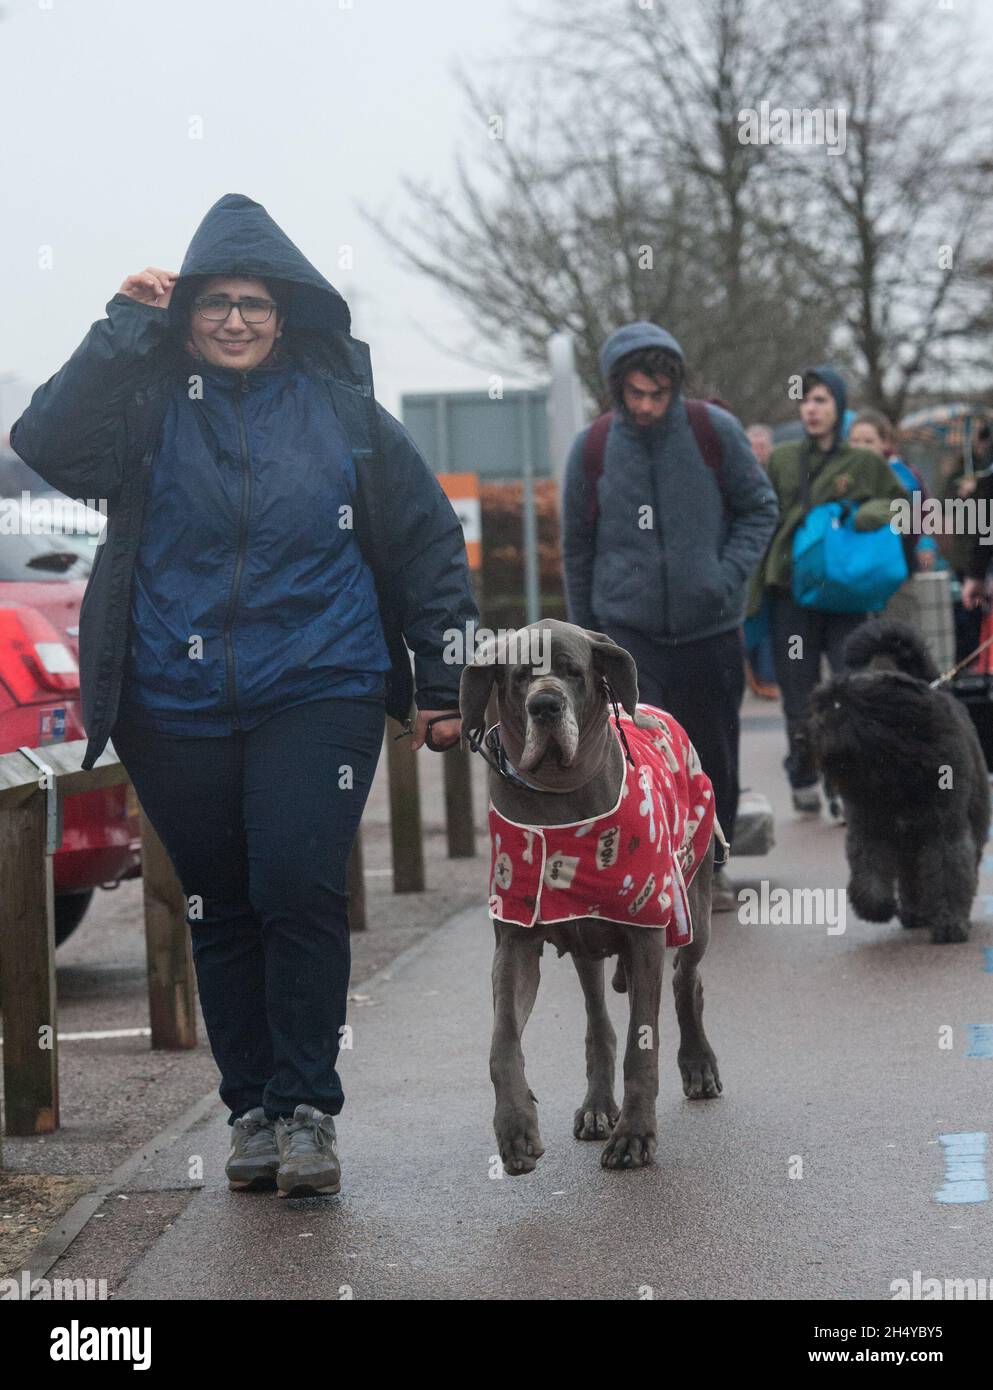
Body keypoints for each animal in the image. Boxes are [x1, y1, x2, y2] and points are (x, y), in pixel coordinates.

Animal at [806, 622, 990, 939]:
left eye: (839, 704)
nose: (802, 737)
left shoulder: (944, 829)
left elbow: (949, 873)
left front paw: (950, 923)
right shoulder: (871, 829)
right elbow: (868, 872)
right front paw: (876, 907)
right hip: (909, 842)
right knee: (911, 876)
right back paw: (914, 912)